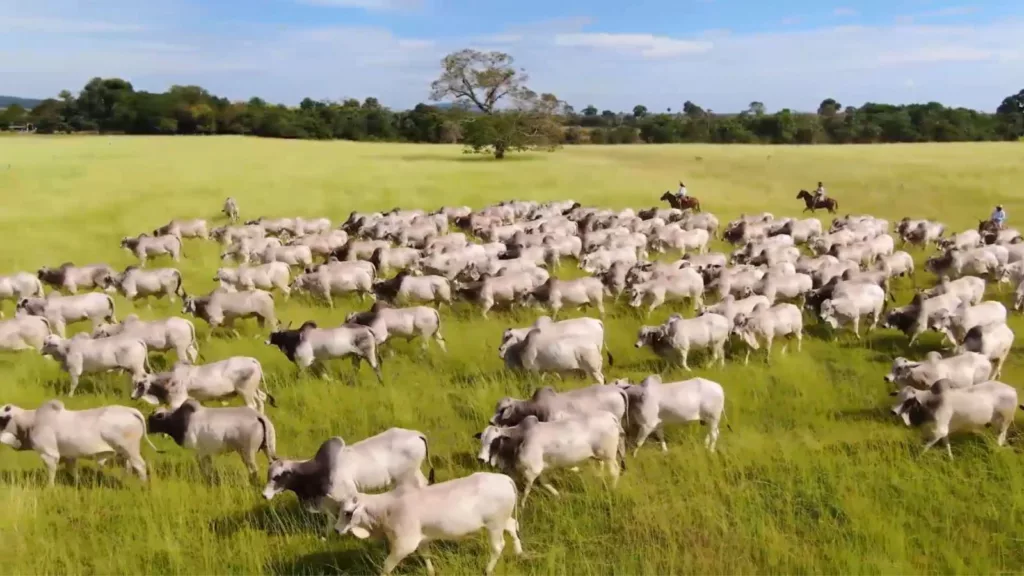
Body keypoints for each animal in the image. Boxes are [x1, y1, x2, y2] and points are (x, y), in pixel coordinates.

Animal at [146, 399, 276, 475]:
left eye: (154, 417)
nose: (146, 429)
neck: (180, 421)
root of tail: (258, 417)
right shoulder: (206, 452)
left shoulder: (199, 451)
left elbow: (204, 469)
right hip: (268, 448)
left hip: (246, 452)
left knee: (253, 470)